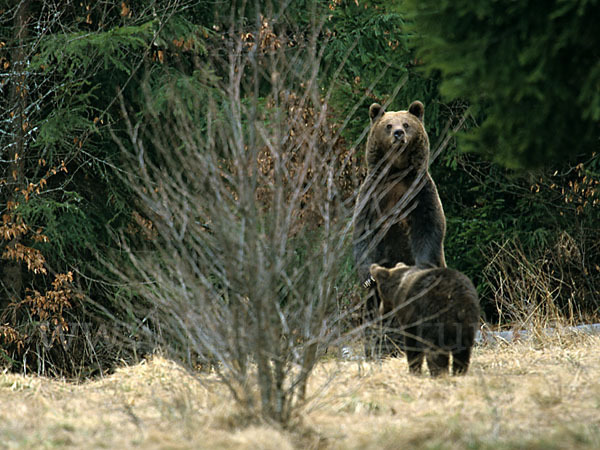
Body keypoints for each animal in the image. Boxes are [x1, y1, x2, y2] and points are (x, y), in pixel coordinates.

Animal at [354, 100, 448, 356]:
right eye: (388, 125)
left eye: (406, 123)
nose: (398, 133)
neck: (396, 173)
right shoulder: (371, 198)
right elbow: (362, 235)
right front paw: (368, 277)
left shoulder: (420, 193)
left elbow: (429, 228)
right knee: (373, 312)